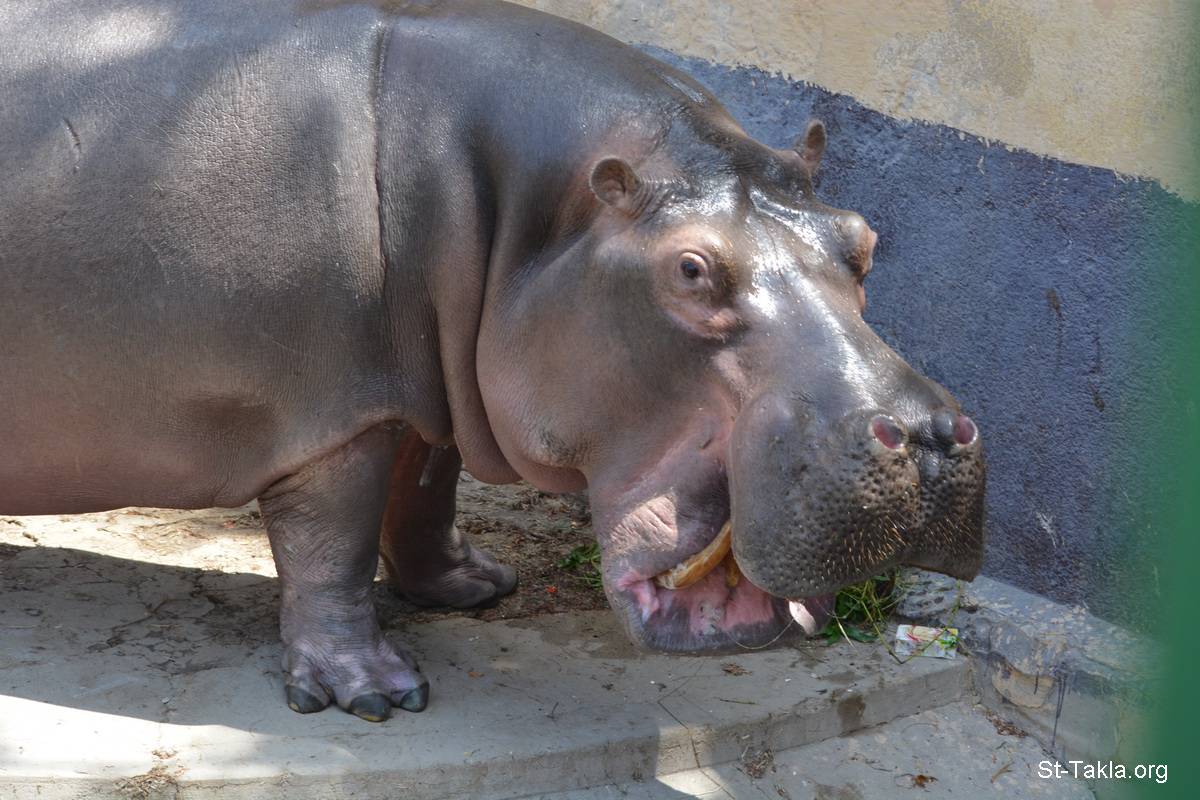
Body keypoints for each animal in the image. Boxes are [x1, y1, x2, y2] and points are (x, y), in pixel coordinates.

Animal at [0, 0, 985, 722]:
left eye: (862, 238)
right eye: (692, 268)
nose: (931, 439)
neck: (538, 208)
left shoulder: (429, 381)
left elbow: (425, 489)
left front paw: (471, 586)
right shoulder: (339, 412)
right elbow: (332, 546)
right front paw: (378, 695)